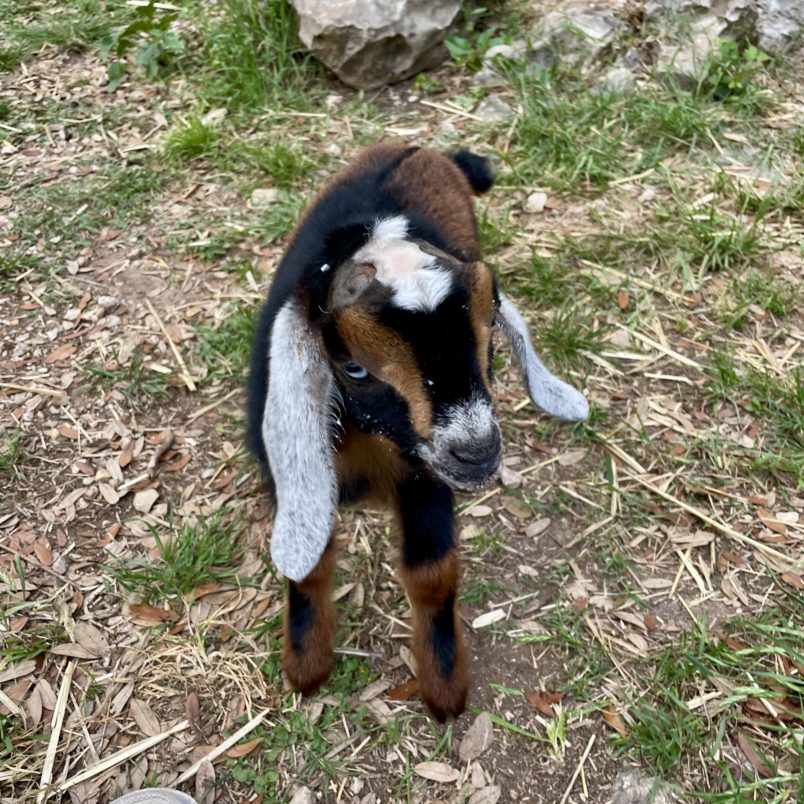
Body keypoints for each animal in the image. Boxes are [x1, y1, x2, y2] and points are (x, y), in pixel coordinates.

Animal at [245, 144, 584, 724]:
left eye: (488, 337)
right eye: (354, 368)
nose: (477, 453)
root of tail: (424, 148)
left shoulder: (427, 479)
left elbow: (432, 572)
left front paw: (445, 687)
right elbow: (311, 563)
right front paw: (305, 666)